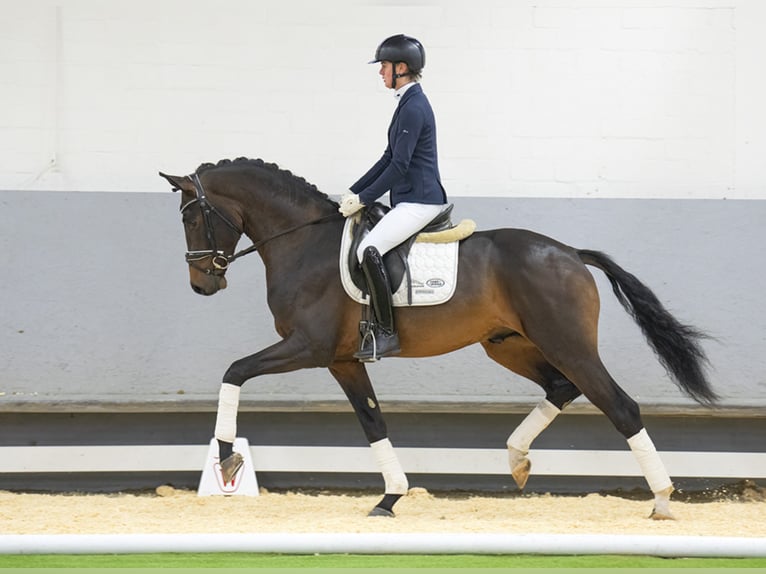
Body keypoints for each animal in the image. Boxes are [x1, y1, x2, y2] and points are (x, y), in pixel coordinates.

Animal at [159, 158, 716, 520]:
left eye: (191, 217)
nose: (201, 284)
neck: (303, 241)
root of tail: (571, 253)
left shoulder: (308, 348)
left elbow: (234, 371)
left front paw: (227, 456)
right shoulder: (342, 360)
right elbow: (372, 422)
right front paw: (391, 497)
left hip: (566, 345)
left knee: (620, 406)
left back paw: (662, 500)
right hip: (509, 344)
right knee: (562, 388)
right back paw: (516, 459)